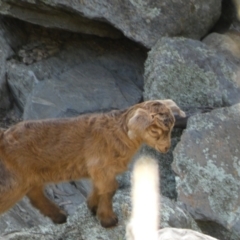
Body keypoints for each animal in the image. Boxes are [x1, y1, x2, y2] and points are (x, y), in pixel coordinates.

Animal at [0, 99, 185, 227]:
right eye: (154, 130)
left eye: (171, 127)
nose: (166, 148)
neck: (120, 132)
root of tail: (3, 137)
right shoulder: (100, 166)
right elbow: (110, 188)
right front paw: (108, 220)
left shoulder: (101, 169)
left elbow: (102, 188)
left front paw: (93, 206)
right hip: (14, 180)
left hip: (29, 176)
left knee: (35, 194)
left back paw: (59, 216)